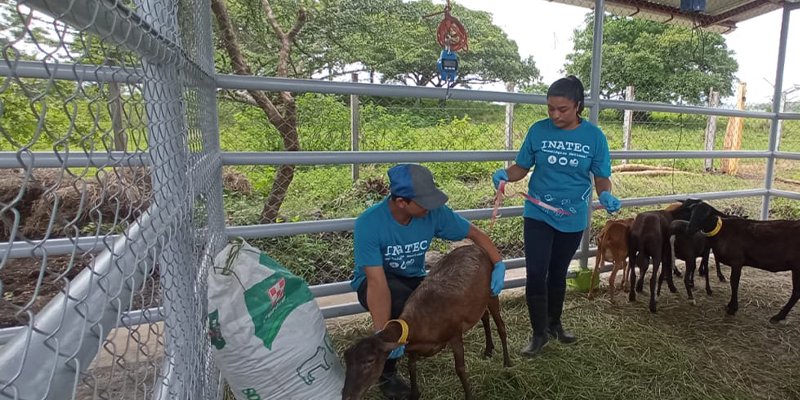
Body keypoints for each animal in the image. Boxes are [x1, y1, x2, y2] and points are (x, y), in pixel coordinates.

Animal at [340, 244, 510, 400]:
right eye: (346, 359)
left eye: (369, 361)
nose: (347, 396)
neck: (417, 324)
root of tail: (477, 247)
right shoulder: (413, 348)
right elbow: (411, 368)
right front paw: (414, 394)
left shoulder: (454, 334)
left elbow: (460, 369)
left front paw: (469, 396)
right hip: (478, 303)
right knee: (485, 317)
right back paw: (488, 350)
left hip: (492, 293)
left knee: (501, 326)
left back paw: (506, 362)